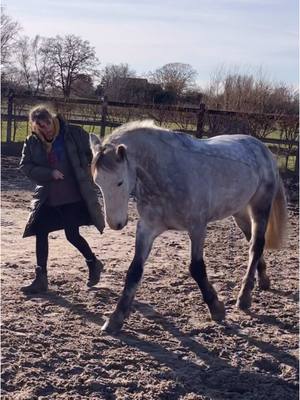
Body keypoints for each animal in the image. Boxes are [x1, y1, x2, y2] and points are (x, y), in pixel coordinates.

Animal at [90, 120, 288, 332]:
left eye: (119, 182)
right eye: (97, 182)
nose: (116, 223)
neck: (167, 173)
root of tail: (263, 149)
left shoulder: (197, 227)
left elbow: (197, 268)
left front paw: (216, 308)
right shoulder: (147, 228)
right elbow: (135, 270)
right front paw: (115, 318)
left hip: (260, 206)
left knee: (256, 245)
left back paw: (244, 297)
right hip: (240, 212)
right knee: (253, 243)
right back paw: (263, 280)